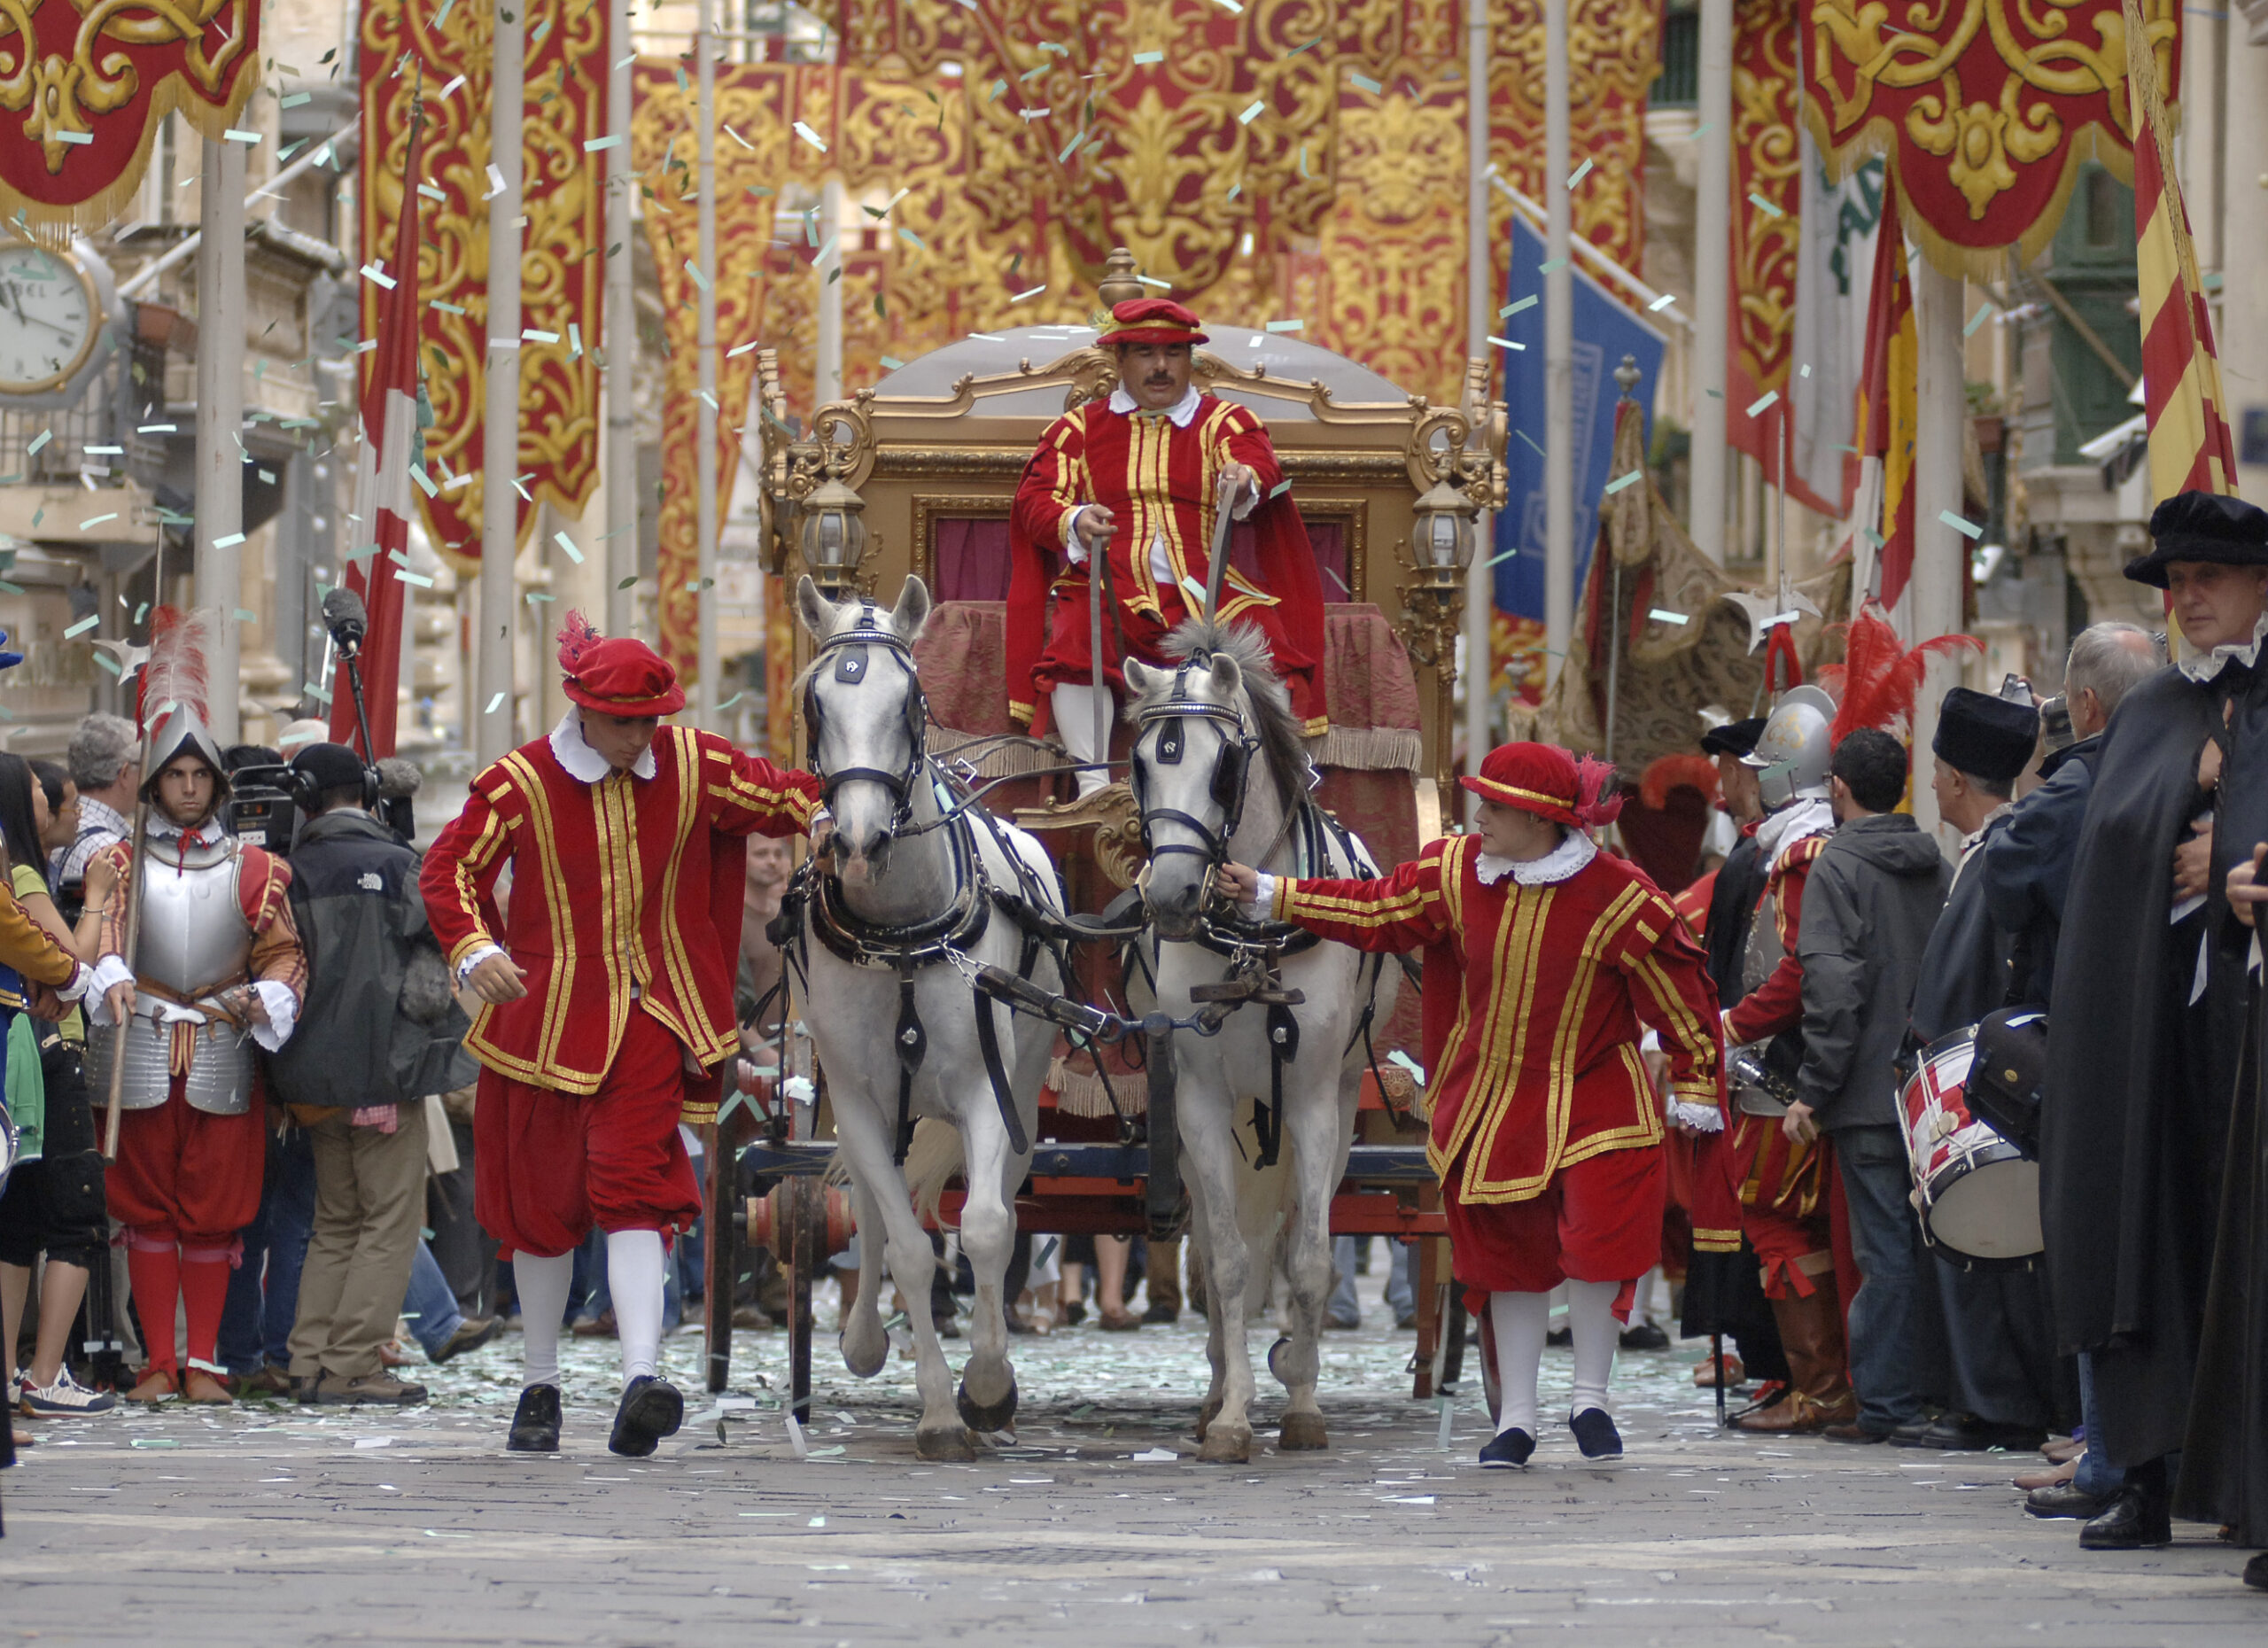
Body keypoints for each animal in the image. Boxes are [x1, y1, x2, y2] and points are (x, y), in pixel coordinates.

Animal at [794, 573, 1066, 1459]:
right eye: (816, 702)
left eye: (908, 700)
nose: (858, 840)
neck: (905, 936)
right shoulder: (855, 1100)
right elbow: (907, 1246)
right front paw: (941, 1409)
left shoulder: (986, 1087)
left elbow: (983, 1227)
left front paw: (986, 1386)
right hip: (871, 1110)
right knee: (880, 1214)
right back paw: (863, 1340)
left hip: (1025, 1081)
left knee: (1002, 1206)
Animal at [1124, 626, 1387, 1459]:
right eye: (1141, 763)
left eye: (1224, 766)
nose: (1172, 898)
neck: (1248, 938)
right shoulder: (1201, 1101)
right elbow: (1231, 1261)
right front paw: (1234, 1415)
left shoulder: (1312, 1102)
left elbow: (1308, 1261)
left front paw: (1300, 1399)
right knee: (1217, 1247)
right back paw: (1215, 1390)